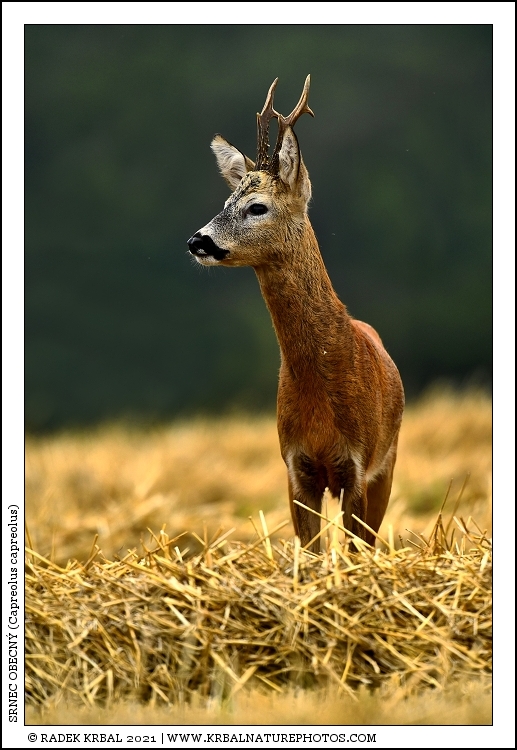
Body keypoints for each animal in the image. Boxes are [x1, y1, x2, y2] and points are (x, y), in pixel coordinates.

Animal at [187, 76, 404, 552]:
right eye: (226, 200)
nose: (197, 241)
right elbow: (309, 553)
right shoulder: (295, 466)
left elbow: (351, 549)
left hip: (389, 460)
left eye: (257, 206)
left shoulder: (357, 464)